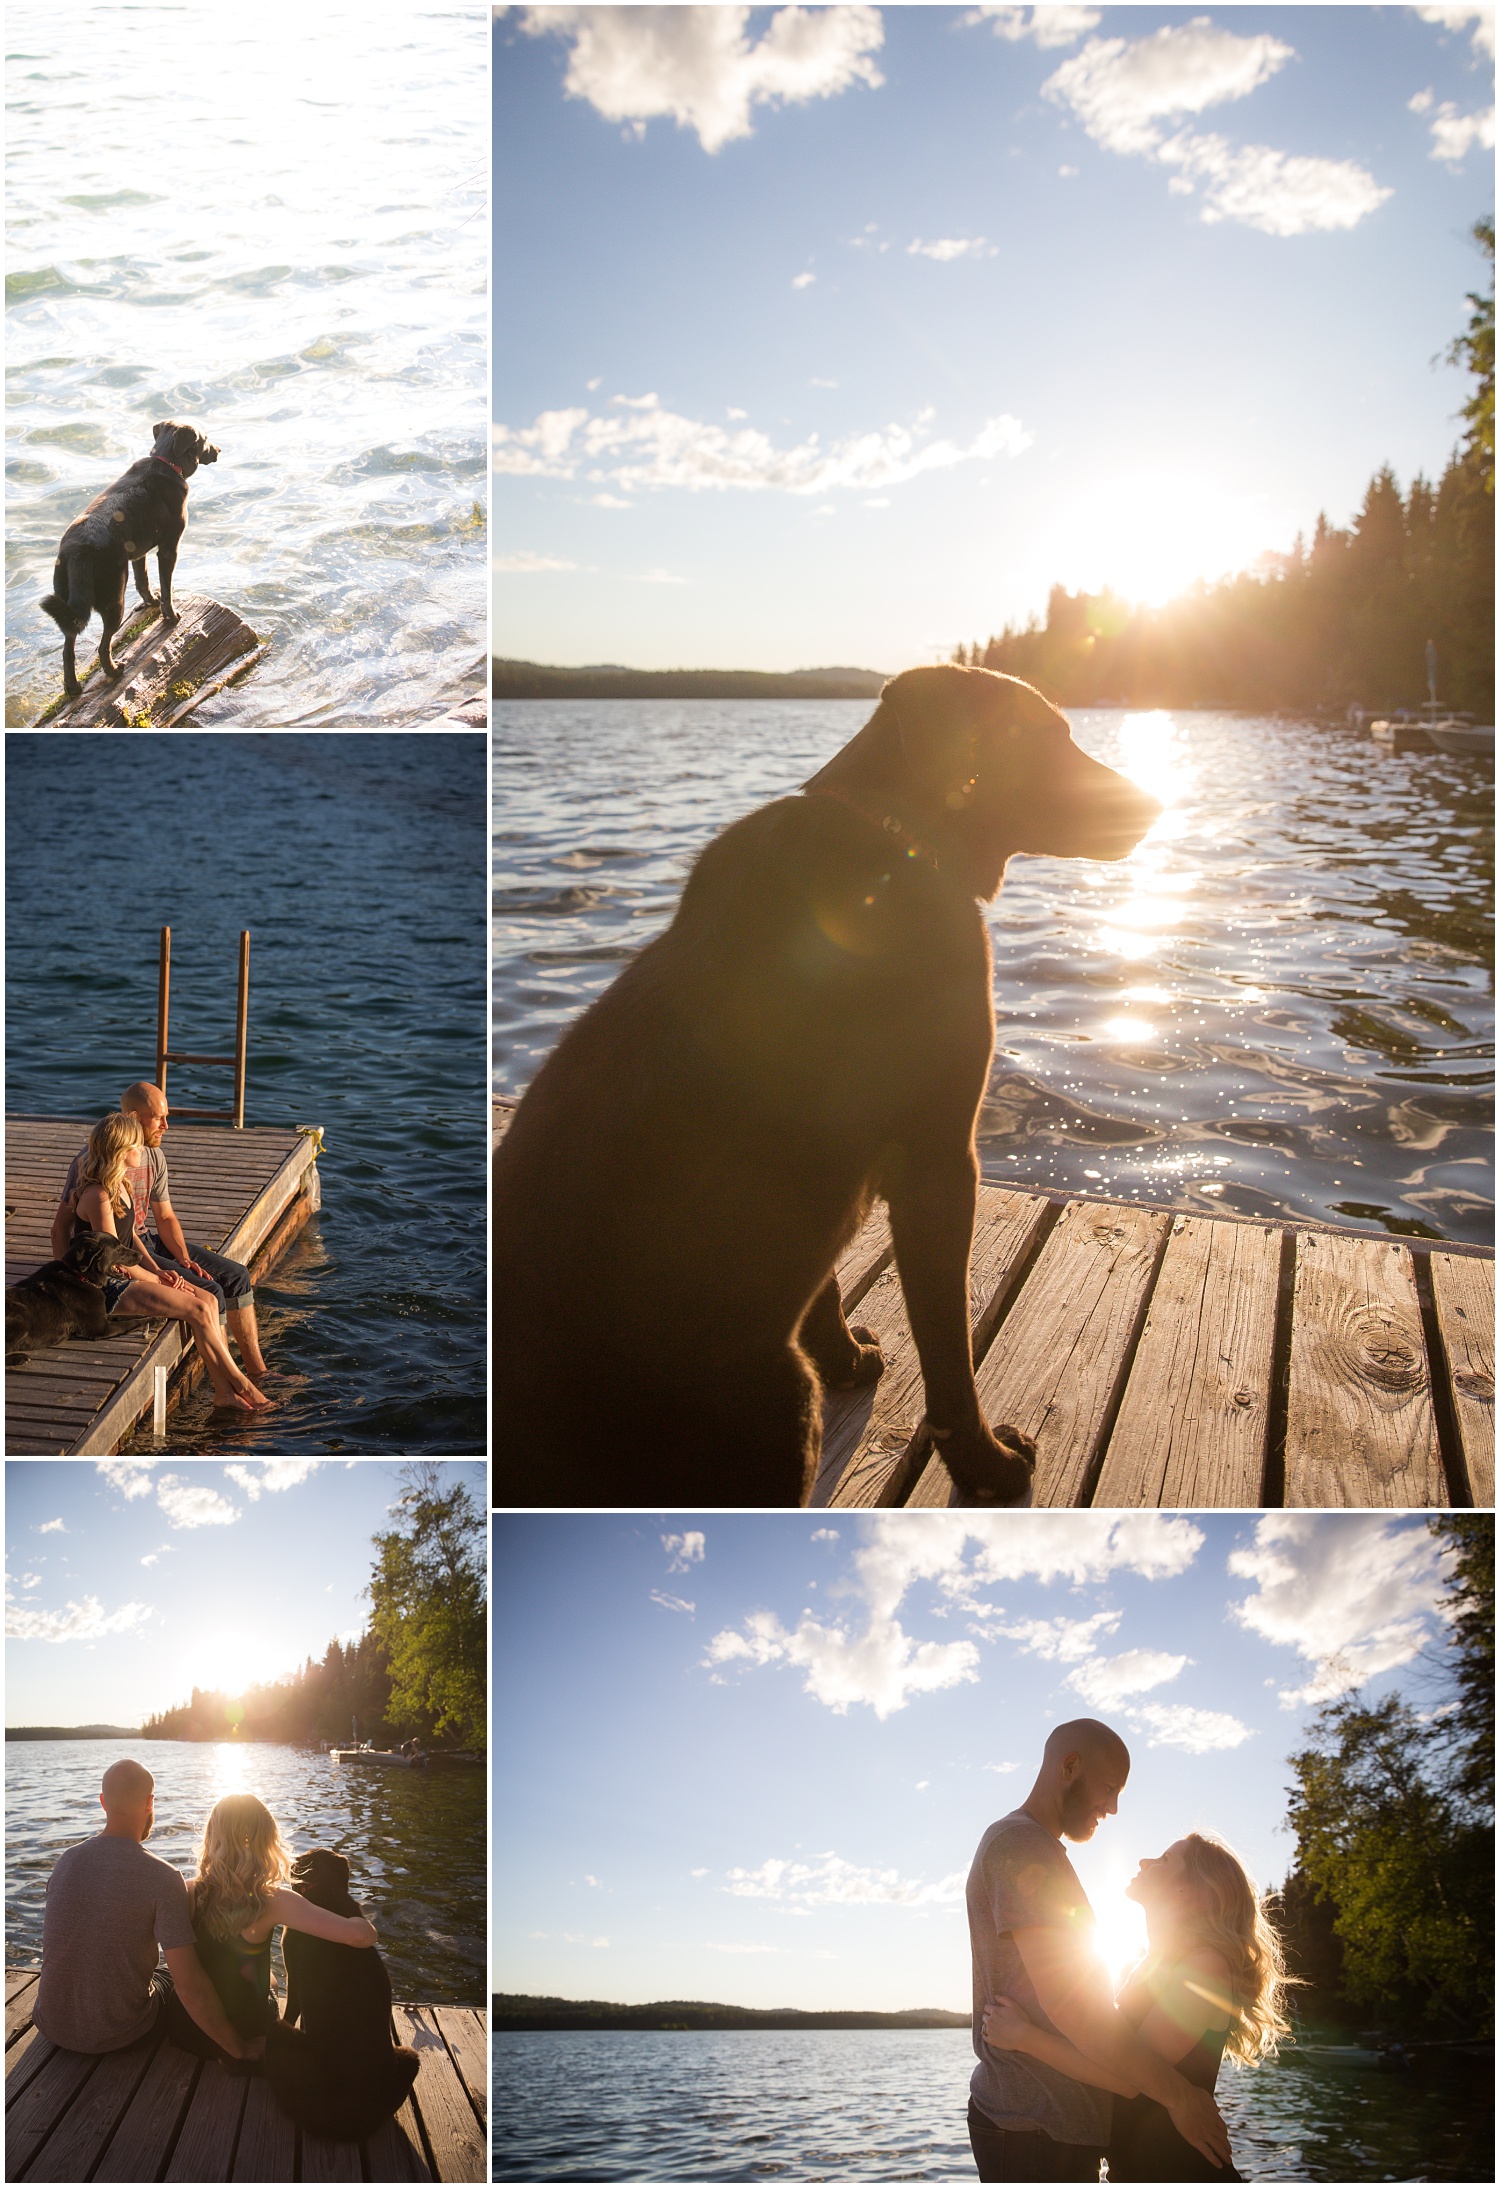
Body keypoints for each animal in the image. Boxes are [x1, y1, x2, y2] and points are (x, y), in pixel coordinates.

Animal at [40, 422, 220, 695]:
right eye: (206, 439)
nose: (219, 449)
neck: (166, 462)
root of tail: (79, 552)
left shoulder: (138, 551)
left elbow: (143, 581)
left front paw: (151, 602)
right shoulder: (168, 548)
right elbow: (166, 588)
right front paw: (170, 615)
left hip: (65, 600)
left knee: (68, 648)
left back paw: (73, 688)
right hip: (114, 598)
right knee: (103, 645)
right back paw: (114, 671)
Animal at [267, 1855, 424, 2144]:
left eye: (302, 1860)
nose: (293, 1861)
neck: (329, 1895)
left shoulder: (293, 1978)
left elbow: (291, 2011)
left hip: (277, 2033)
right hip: (410, 2056)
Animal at [494, 660, 1163, 1505]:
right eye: (1044, 736)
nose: (1156, 804)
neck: (898, 841)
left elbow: (826, 1289)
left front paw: (845, 1356)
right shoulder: (941, 1160)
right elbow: (949, 1357)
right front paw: (984, 1465)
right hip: (780, 1400)